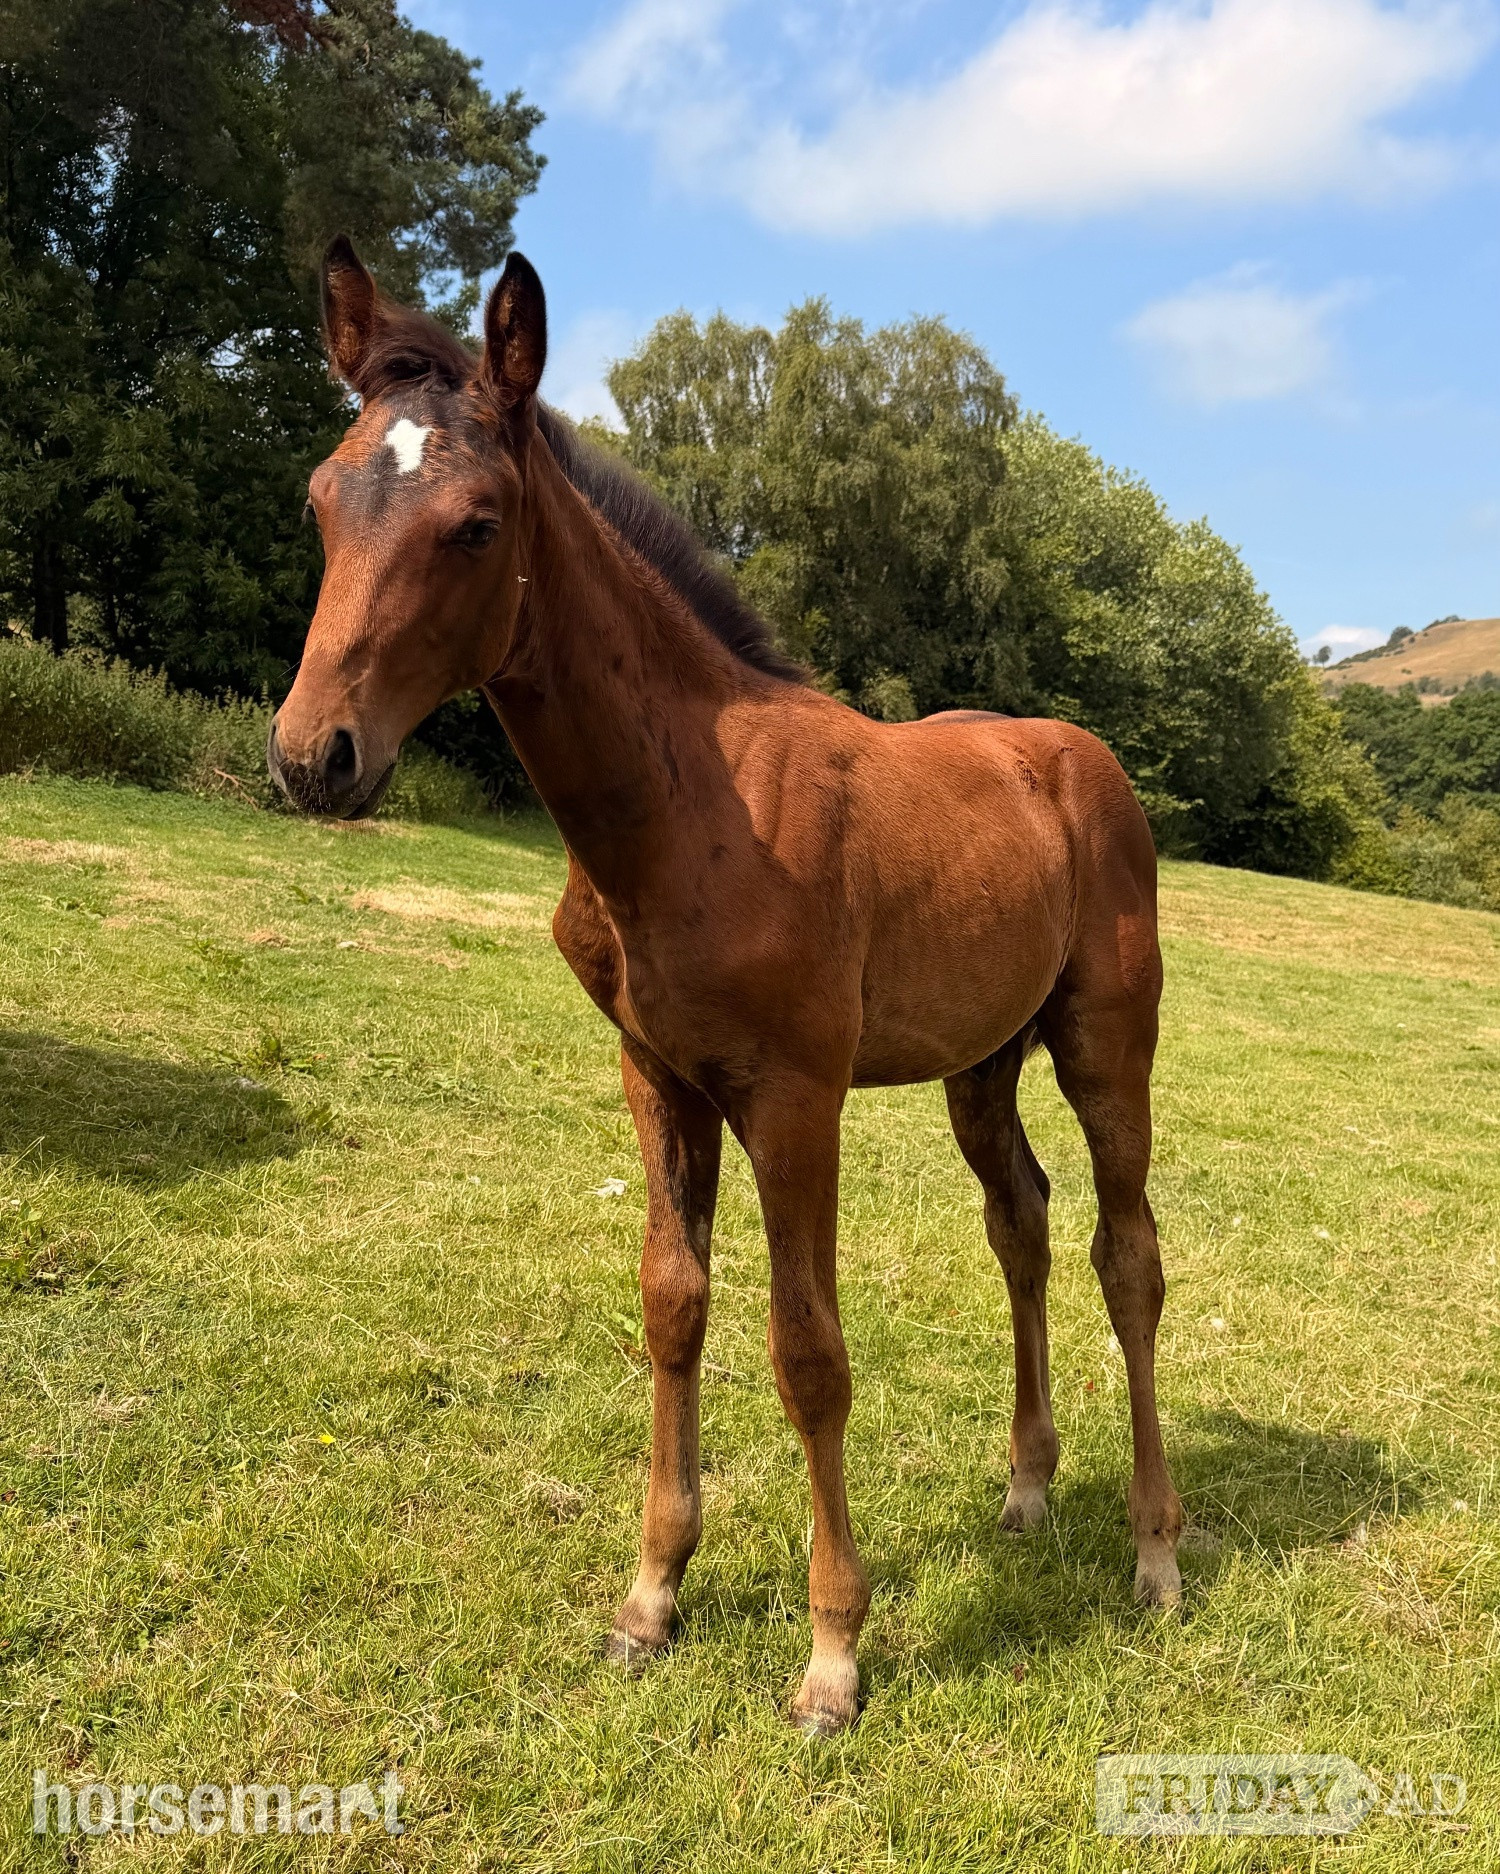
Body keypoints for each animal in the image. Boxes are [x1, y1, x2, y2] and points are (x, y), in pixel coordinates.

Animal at [268, 236, 1183, 1736]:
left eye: (475, 523)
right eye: (321, 500)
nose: (312, 755)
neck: (688, 802)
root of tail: (1077, 756)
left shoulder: (794, 1095)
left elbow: (808, 1350)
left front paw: (832, 1656)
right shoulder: (658, 1073)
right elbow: (673, 1304)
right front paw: (651, 1595)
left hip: (1106, 1042)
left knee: (1128, 1252)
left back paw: (1158, 1551)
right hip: (978, 1065)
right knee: (1024, 1224)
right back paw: (1028, 1483)